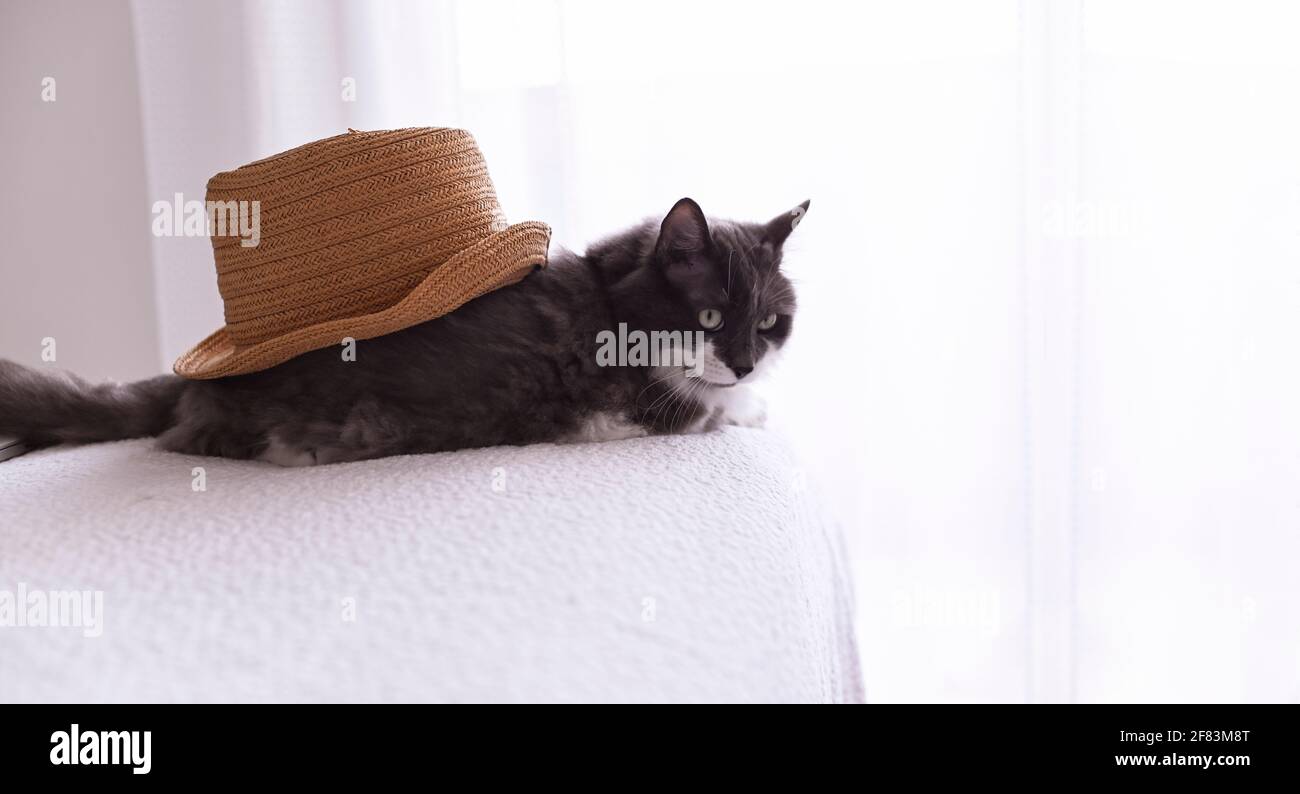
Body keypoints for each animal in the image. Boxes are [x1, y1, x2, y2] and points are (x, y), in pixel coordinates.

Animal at [0, 197, 806, 465]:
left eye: (770, 323)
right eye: (709, 318)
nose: (743, 361)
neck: (611, 302)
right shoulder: (655, 409)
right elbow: (719, 410)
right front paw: (755, 404)